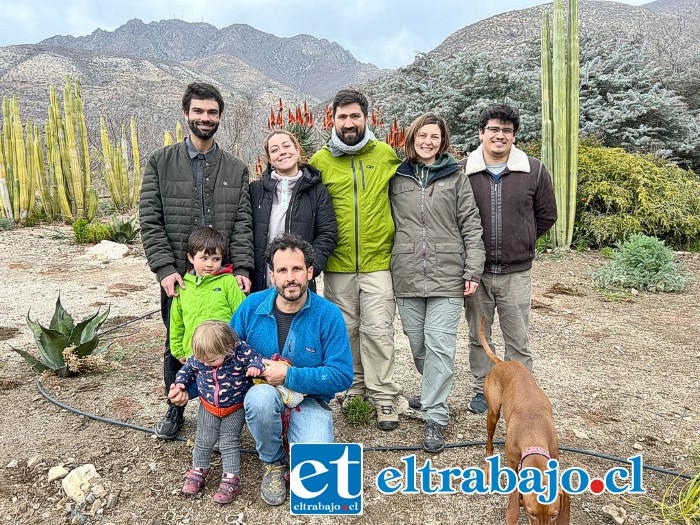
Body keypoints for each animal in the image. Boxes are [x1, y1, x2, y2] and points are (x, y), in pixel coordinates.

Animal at [482, 318, 568, 520]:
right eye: (531, 513)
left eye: (554, 514)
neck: (533, 432)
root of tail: (503, 363)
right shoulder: (513, 462)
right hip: (493, 412)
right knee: (489, 442)